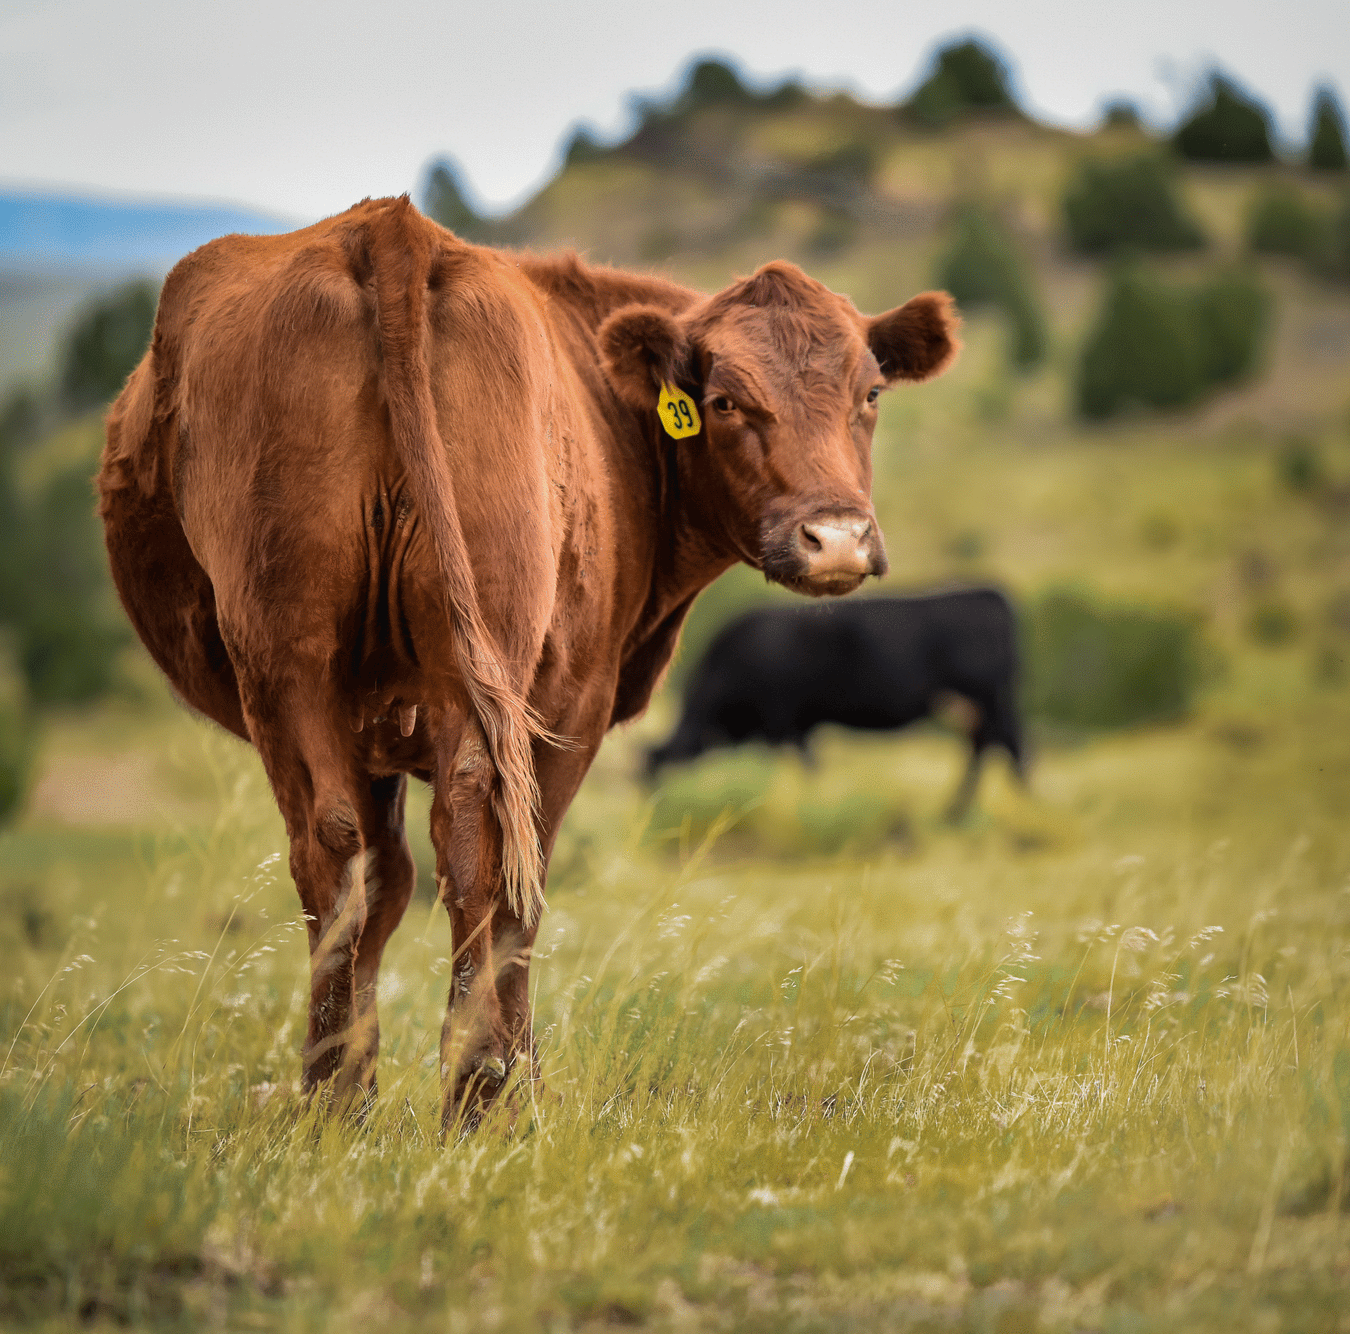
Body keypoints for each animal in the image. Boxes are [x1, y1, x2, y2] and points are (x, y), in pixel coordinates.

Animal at [97, 193, 961, 1117]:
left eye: (870, 392)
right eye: (726, 400)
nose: (836, 537)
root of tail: (390, 228)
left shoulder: (374, 727)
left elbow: (386, 882)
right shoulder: (573, 700)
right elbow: (498, 877)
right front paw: (513, 1077)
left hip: (292, 659)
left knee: (345, 849)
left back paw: (339, 1099)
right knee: (496, 859)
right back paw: (484, 1095)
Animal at [648, 588, 1026, 815]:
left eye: (654, 778)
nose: (656, 809)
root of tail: (988, 593)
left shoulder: (780, 721)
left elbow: (800, 765)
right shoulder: (797, 726)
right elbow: (809, 764)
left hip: (984, 698)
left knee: (1003, 743)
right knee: (990, 744)